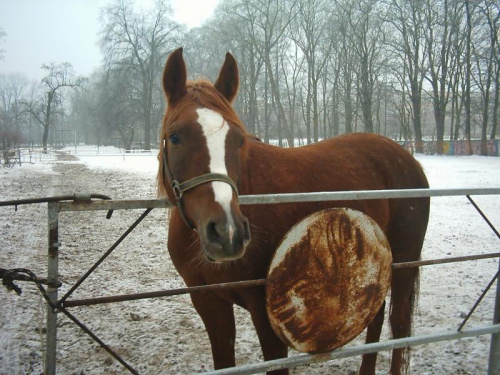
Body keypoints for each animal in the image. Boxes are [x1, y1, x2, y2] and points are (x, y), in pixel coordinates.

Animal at [157, 47, 430, 375]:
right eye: (175, 137)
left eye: (238, 139)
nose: (227, 233)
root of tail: (407, 157)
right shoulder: (209, 303)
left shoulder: (267, 315)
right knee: (376, 317)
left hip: (404, 263)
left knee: (399, 326)